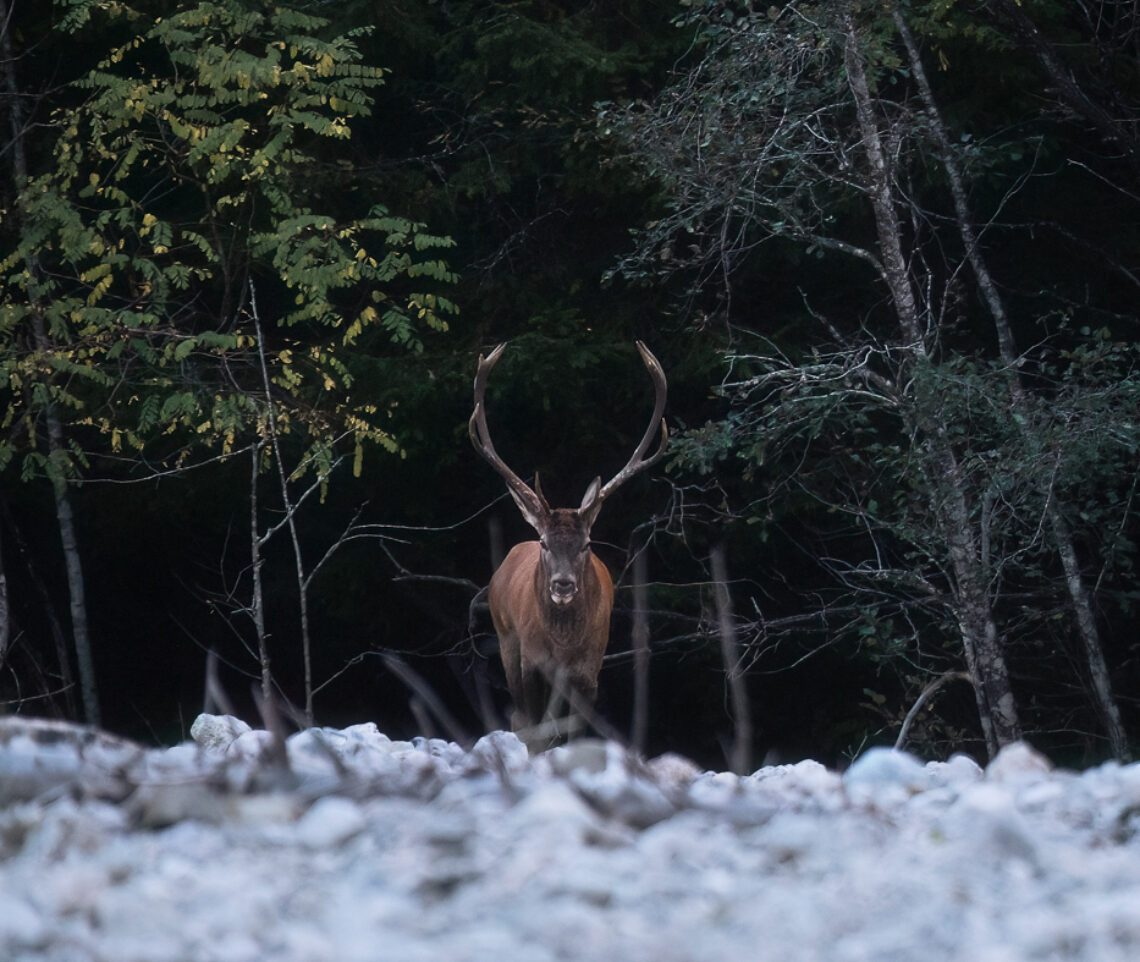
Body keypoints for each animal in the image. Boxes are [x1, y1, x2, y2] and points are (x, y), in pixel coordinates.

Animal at [469, 341, 665, 747]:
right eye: (545, 542)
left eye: (586, 543)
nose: (562, 584)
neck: (562, 645)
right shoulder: (530, 659)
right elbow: (533, 730)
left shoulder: (589, 668)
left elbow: (574, 732)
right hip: (505, 637)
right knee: (519, 717)